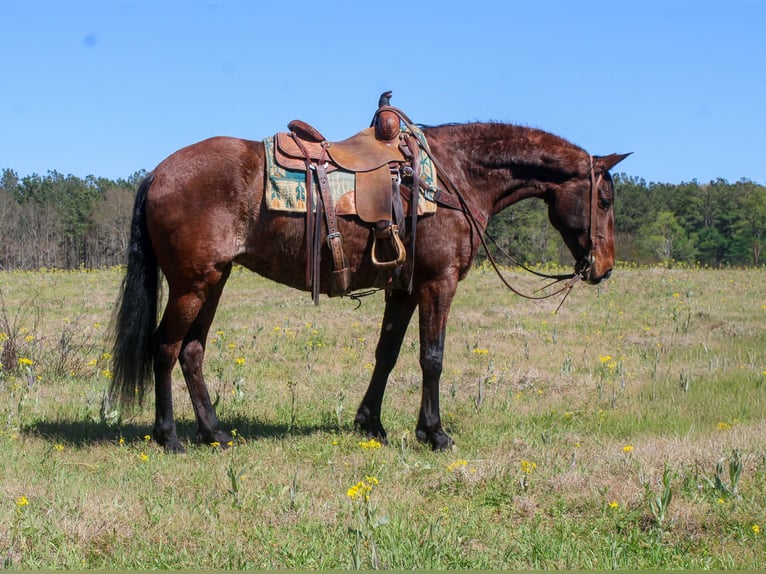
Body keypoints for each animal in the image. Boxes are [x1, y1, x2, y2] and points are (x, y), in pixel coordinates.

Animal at [110, 112, 629, 453]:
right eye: (604, 199)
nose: (603, 268)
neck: (453, 177)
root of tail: (158, 173)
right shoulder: (438, 283)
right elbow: (432, 358)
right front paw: (435, 433)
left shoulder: (403, 288)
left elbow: (388, 354)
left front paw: (371, 424)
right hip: (192, 284)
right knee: (165, 348)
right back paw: (169, 437)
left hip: (214, 281)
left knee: (192, 351)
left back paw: (214, 432)